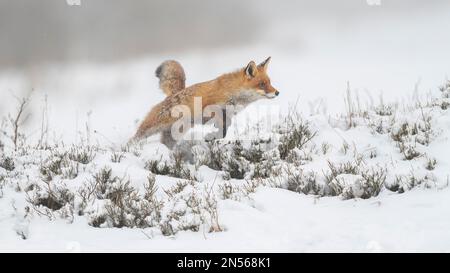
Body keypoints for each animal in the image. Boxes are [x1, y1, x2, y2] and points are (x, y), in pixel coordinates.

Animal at [132, 56, 278, 148]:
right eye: (262, 84)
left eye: (270, 83)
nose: (277, 92)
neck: (232, 92)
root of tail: (173, 94)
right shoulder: (211, 110)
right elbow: (221, 128)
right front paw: (211, 136)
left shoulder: (227, 115)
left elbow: (225, 129)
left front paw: (212, 136)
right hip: (150, 128)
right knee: (134, 139)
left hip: (174, 134)